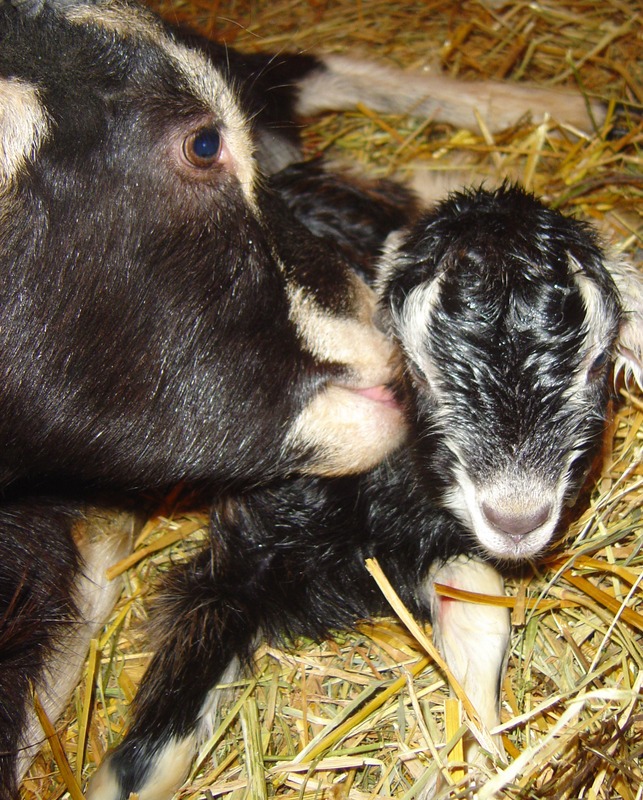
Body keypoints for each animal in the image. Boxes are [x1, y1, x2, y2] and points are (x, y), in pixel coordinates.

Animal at [88, 182, 643, 799]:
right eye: (418, 372)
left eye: (596, 364)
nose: (516, 518)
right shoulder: (242, 554)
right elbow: (158, 732)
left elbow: (479, 601)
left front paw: (469, 754)